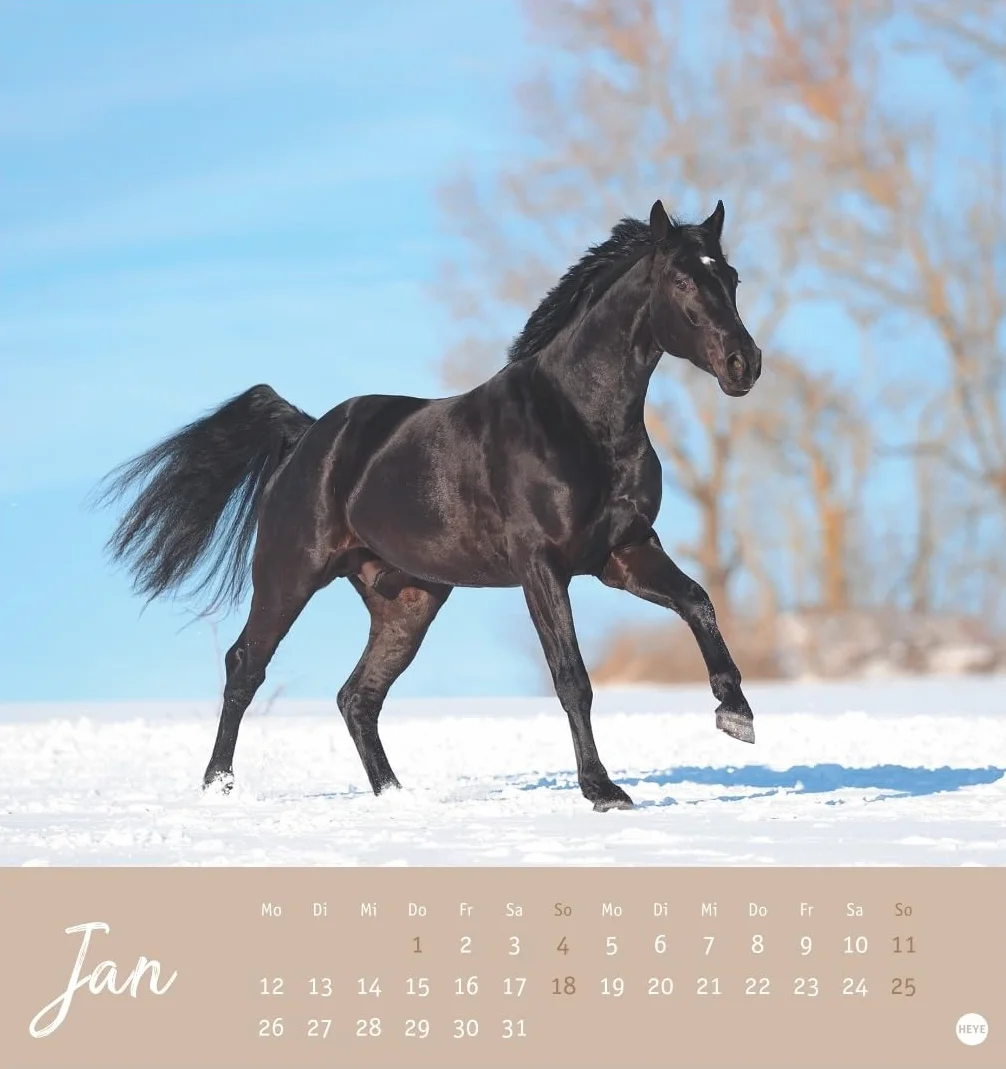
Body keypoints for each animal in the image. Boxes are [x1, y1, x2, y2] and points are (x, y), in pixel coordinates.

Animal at [95, 198, 763, 812]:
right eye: (682, 279)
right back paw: (220, 787)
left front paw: (736, 714)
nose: (744, 364)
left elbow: (698, 603)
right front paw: (603, 790)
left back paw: (394, 796)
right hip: (290, 574)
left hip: (408, 603)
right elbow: (572, 677)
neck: (579, 420)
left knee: (357, 696)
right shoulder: (541, 566)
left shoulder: (622, 553)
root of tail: (307, 437)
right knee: (246, 666)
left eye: (730, 277)